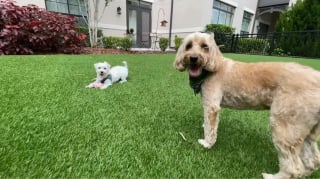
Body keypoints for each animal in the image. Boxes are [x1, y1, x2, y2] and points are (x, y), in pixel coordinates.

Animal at [174, 32, 320, 179]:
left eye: (205, 47)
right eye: (188, 46)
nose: (193, 58)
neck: (211, 69)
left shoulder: (211, 105)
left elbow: (210, 128)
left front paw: (207, 144)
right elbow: (210, 124)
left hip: (285, 124)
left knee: (293, 167)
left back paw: (272, 176)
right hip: (305, 129)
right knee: (313, 161)